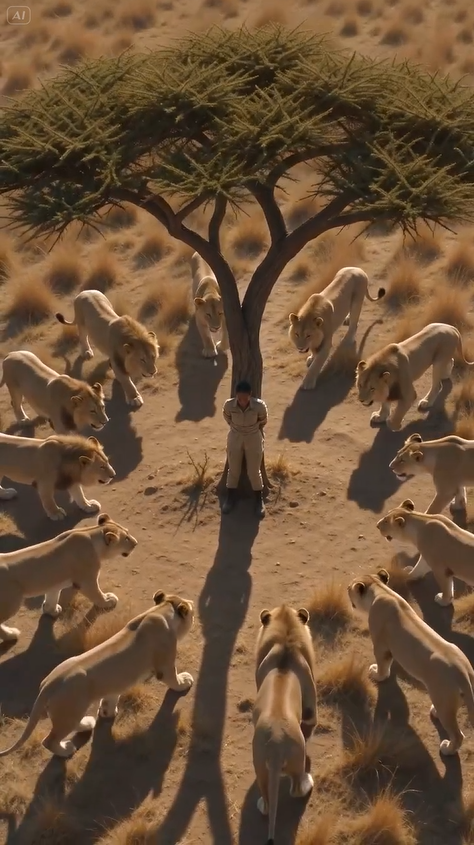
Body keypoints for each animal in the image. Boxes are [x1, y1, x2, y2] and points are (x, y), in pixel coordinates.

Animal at [0, 512, 137, 643]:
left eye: (128, 532)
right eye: (126, 538)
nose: (136, 543)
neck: (91, 534)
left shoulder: (54, 582)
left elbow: (52, 598)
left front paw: (51, 611)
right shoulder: (87, 581)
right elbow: (97, 594)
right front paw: (107, 601)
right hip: (11, 603)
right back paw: (11, 634)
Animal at [0, 590, 194, 758]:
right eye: (191, 611)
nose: (193, 604)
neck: (161, 611)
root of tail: (49, 684)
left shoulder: (114, 685)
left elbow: (110, 700)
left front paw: (107, 712)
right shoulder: (165, 666)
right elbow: (174, 679)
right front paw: (185, 682)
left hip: (71, 712)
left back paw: (87, 723)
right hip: (70, 712)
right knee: (49, 741)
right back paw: (67, 750)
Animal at [253, 604, 318, 843]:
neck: (285, 643)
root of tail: (275, 743)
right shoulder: (310, 705)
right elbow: (310, 722)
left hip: (260, 766)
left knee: (267, 799)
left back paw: (262, 805)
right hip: (297, 758)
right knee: (296, 788)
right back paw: (308, 783)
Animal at [348, 568, 474, 756]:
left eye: (349, 588)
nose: (346, 589)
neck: (382, 591)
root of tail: (463, 672)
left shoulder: (381, 645)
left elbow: (383, 666)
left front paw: (376, 674)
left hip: (443, 700)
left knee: (458, 735)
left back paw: (447, 749)